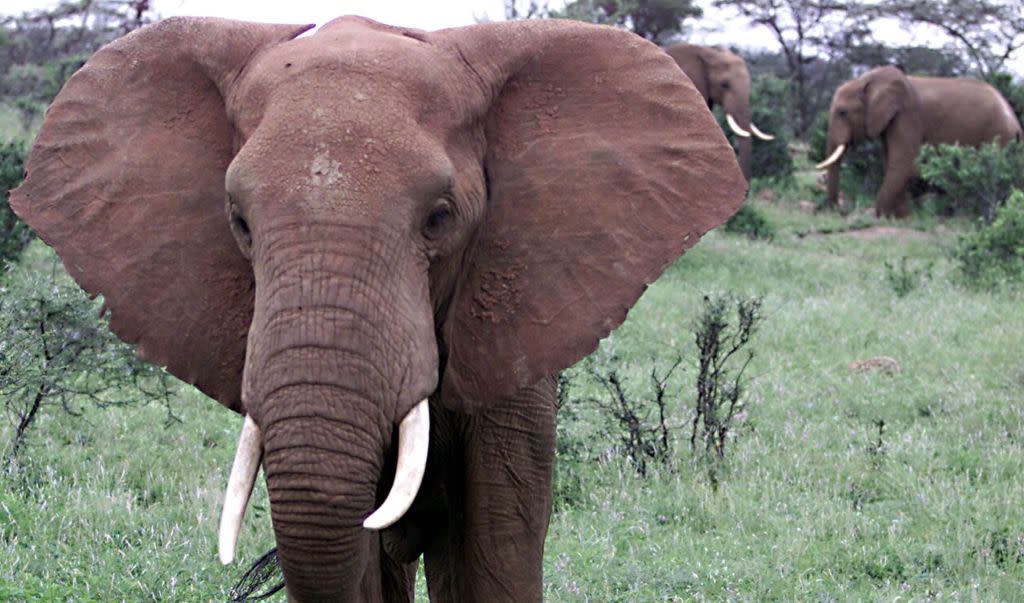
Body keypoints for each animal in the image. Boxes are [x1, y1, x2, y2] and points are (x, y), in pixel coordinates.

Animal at [815, 65, 1024, 216]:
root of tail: (1016, 123)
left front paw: (881, 215)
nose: (839, 210)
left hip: (998, 136)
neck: (867, 80)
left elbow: (903, 163)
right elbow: (892, 161)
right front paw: (900, 216)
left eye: (842, 112)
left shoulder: (908, 116)